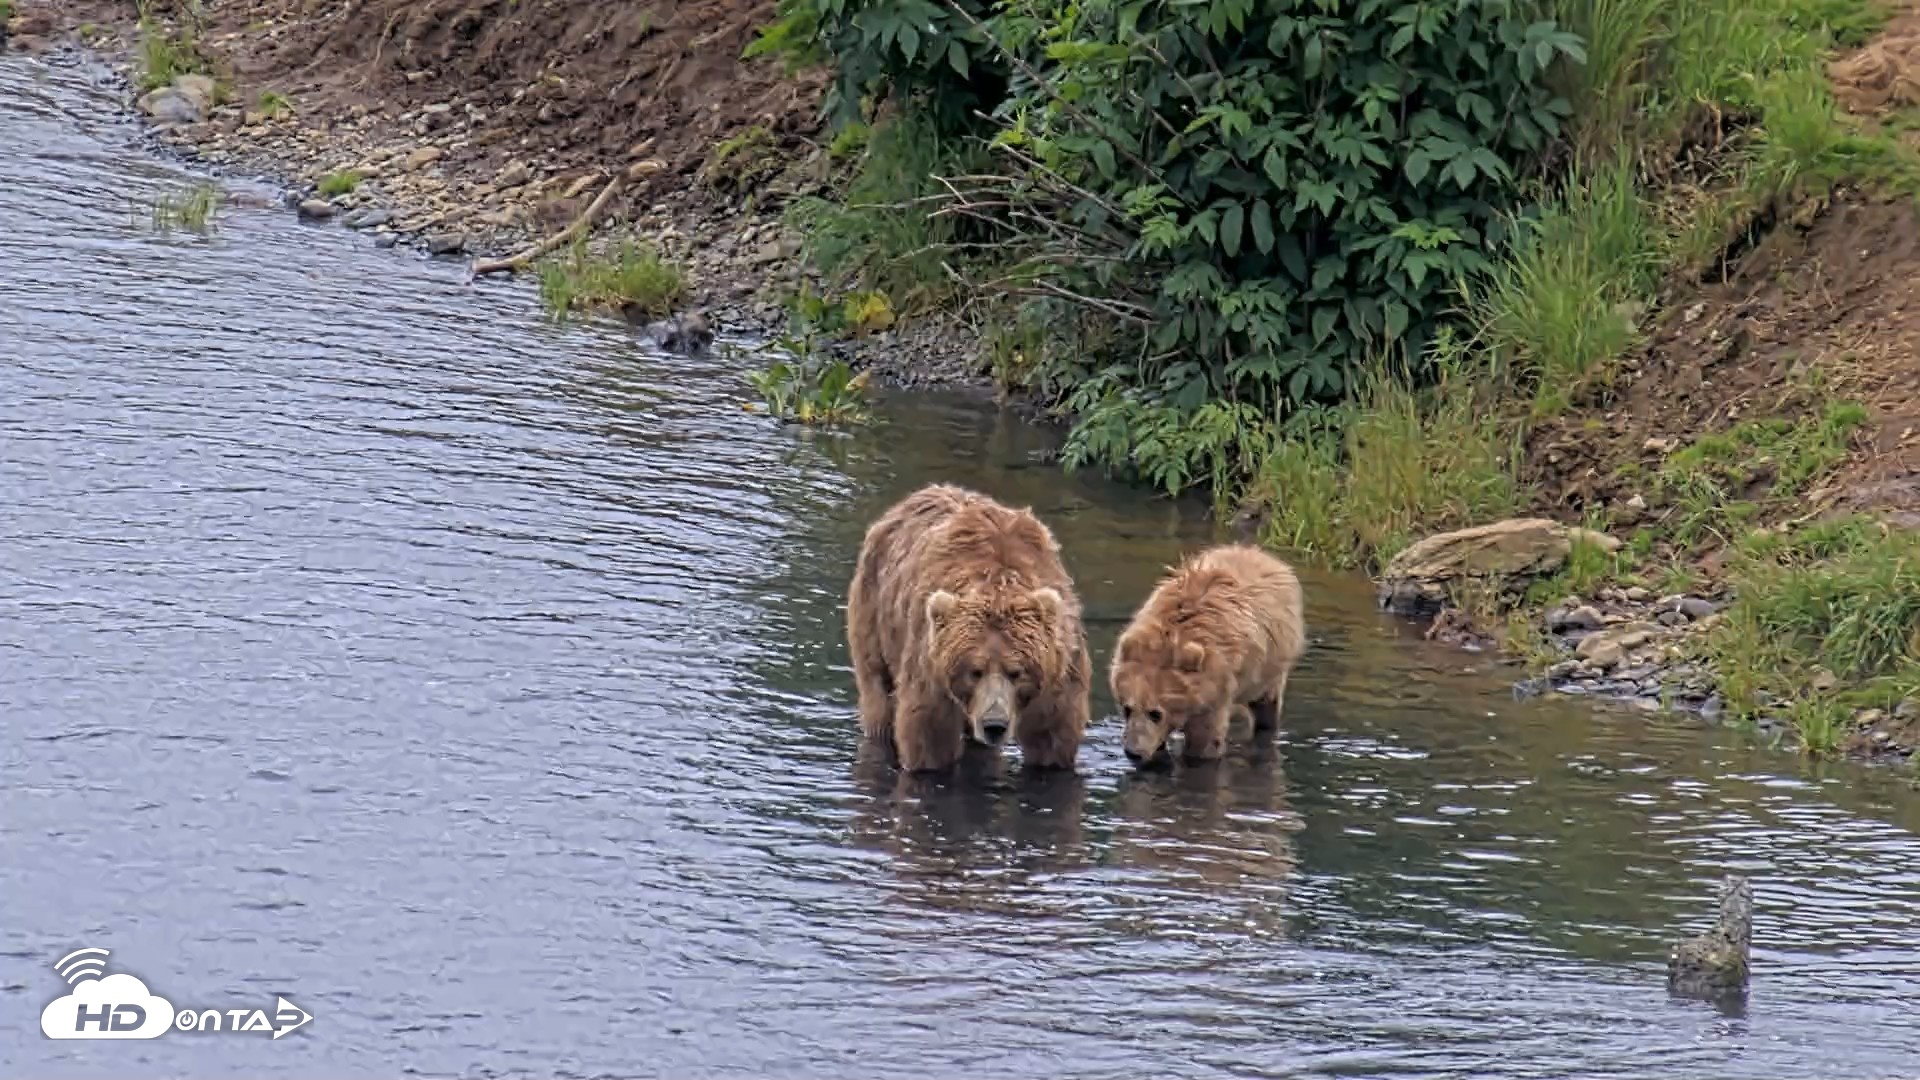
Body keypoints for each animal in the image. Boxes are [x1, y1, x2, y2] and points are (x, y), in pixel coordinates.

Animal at [845, 483, 1092, 773]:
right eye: (975, 671)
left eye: (1016, 672)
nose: (994, 724)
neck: (1000, 581)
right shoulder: (932, 668)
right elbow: (929, 736)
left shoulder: (1058, 674)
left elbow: (1052, 737)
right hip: (875, 611)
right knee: (878, 691)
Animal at [1110, 543, 1306, 766]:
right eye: (1127, 708)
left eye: (1155, 713)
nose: (1132, 752)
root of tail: (1262, 554)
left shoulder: (1216, 691)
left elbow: (1204, 741)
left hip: (1271, 668)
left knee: (1266, 707)